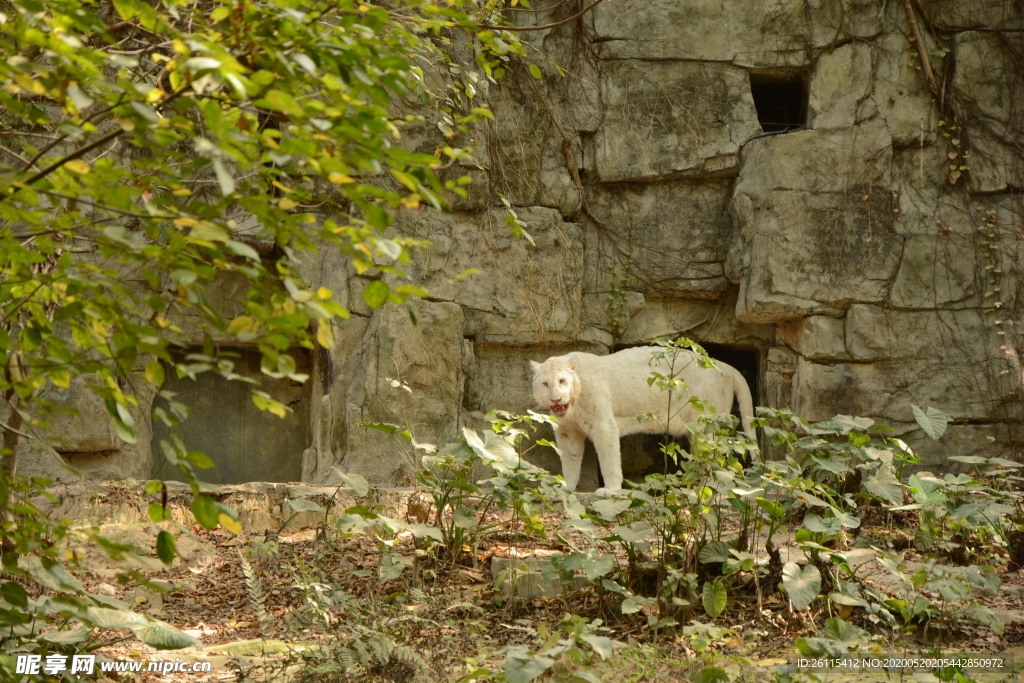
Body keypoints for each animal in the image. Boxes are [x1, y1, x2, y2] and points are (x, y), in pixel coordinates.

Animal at [532, 348, 757, 497]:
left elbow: (609, 460)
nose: (555, 399)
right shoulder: (567, 432)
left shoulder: (604, 425)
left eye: (562, 381)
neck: (573, 407)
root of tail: (725, 366)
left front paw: (610, 490)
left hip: (706, 424)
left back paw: (707, 488)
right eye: (545, 384)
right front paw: (565, 488)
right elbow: (569, 461)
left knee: (715, 456)